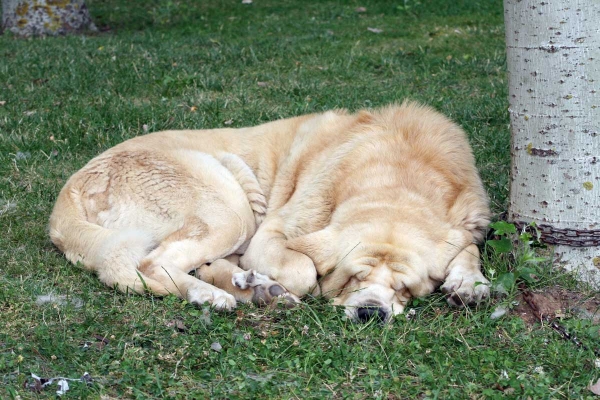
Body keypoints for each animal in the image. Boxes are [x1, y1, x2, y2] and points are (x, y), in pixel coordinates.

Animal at [50, 103, 492, 322]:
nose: (371, 312)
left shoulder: (468, 220)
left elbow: (468, 247)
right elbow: (303, 270)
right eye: (354, 277)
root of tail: (72, 188)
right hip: (232, 210)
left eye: (405, 288)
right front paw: (279, 283)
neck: (400, 174)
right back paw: (216, 294)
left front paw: (470, 284)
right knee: (152, 263)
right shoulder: (273, 234)